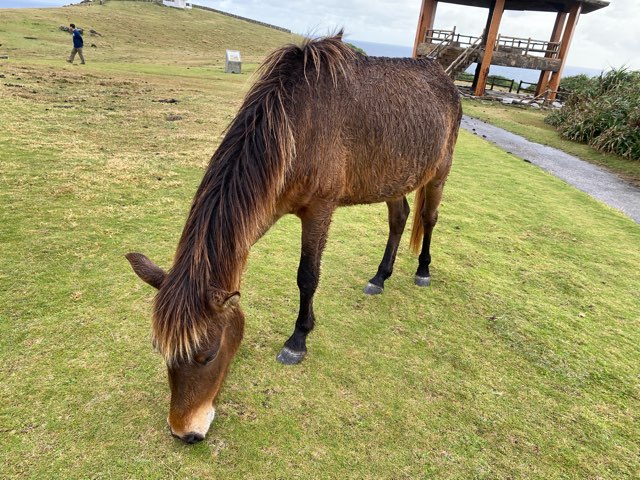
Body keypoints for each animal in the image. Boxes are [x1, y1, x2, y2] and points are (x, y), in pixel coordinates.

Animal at [125, 32, 460, 442]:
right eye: (160, 350)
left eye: (208, 353)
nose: (183, 431)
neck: (297, 126)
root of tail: (443, 77)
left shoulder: (319, 210)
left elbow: (307, 277)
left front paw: (297, 340)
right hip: (395, 177)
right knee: (399, 219)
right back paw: (379, 277)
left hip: (439, 171)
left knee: (428, 218)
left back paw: (423, 271)